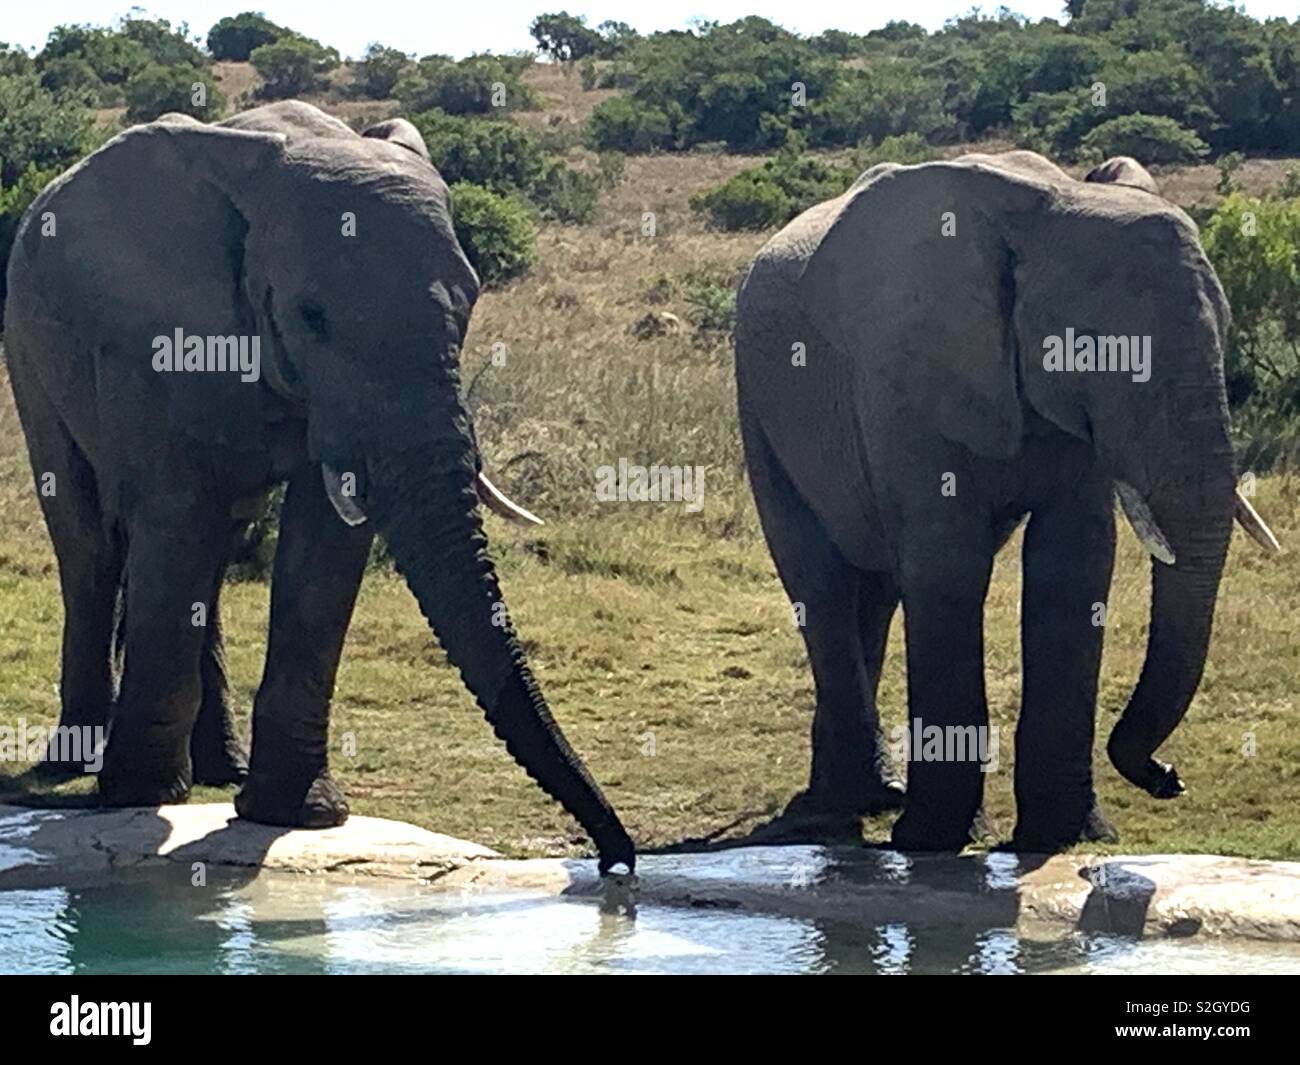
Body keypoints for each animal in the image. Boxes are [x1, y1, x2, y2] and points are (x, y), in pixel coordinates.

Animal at [3, 101, 635, 874]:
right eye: (312, 316)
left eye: (471, 300)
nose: (614, 861)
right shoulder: (162, 336)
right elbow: (179, 514)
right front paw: (140, 796)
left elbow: (324, 544)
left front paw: (298, 815)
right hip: (27, 348)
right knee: (89, 539)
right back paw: (74, 763)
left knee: (211, 548)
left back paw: (225, 769)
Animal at [734, 149, 1280, 852]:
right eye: (1094, 347)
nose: (1168, 776)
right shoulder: (905, 373)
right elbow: (949, 567)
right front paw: (934, 841)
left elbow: (1073, 567)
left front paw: (1064, 839)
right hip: (758, 404)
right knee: (820, 582)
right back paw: (855, 801)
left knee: (875, 589)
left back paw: (867, 794)